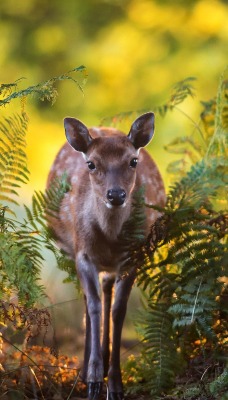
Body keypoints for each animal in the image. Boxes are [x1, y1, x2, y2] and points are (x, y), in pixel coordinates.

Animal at [46, 112, 166, 400]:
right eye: (91, 163)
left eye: (133, 161)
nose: (116, 194)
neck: (109, 239)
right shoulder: (82, 254)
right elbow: (94, 306)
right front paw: (92, 381)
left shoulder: (133, 257)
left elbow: (119, 311)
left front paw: (115, 384)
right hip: (72, 251)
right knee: (91, 300)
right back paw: (87, 369)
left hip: (111, 267)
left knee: (107, 292)